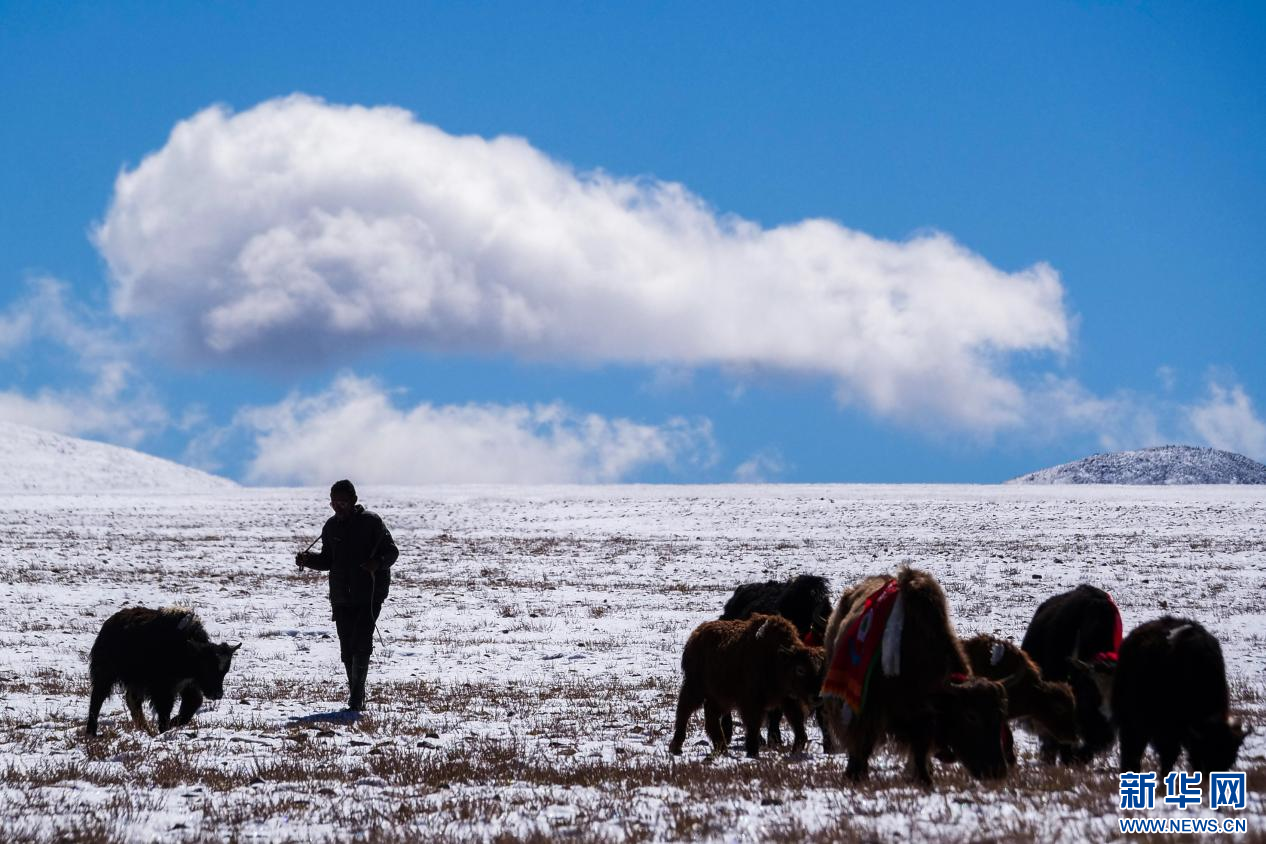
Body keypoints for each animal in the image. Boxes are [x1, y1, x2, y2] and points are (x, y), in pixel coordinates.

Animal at [86, 606, 240, 736]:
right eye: (206, 666)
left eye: (225, 671)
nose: (217, 695)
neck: (188, 652)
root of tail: (109, 623)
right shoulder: (162, 688)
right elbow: (165, 709)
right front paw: (165, 729)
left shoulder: (188, 685)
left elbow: (193, 704)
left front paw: (173, 723)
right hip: (106, 673)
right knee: (98, 698)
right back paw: (91, 732)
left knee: (132, 700)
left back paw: (146, 729)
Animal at [668, 613, 825, 758]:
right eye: (800, 669)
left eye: (822, 670)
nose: (817, 697)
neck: (778, 660)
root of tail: (696, 635)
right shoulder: (752, 703)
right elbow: (753, 727)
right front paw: (752, 752)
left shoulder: (789, 701)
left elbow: (799, 730)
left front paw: (795, 752)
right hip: (695, 688)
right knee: (684, 711)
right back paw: (676, 747)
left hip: (720, 698)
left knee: (711, 716)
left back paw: (722, 749)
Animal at [822, 567, 1010, 784]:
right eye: (971, 716)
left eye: (1001, 714)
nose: (996, 771)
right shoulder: (868, 711)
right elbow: (862, 745)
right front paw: (855, 775)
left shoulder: (923, 719)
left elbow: (920, 753)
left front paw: (925, 779)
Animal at [1113, 616, 1251, 776]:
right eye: (1207, 751)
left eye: (1231, 755)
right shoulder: (1166, 729)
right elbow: (1168, 755)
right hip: (1131, 721)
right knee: (1131, 750)